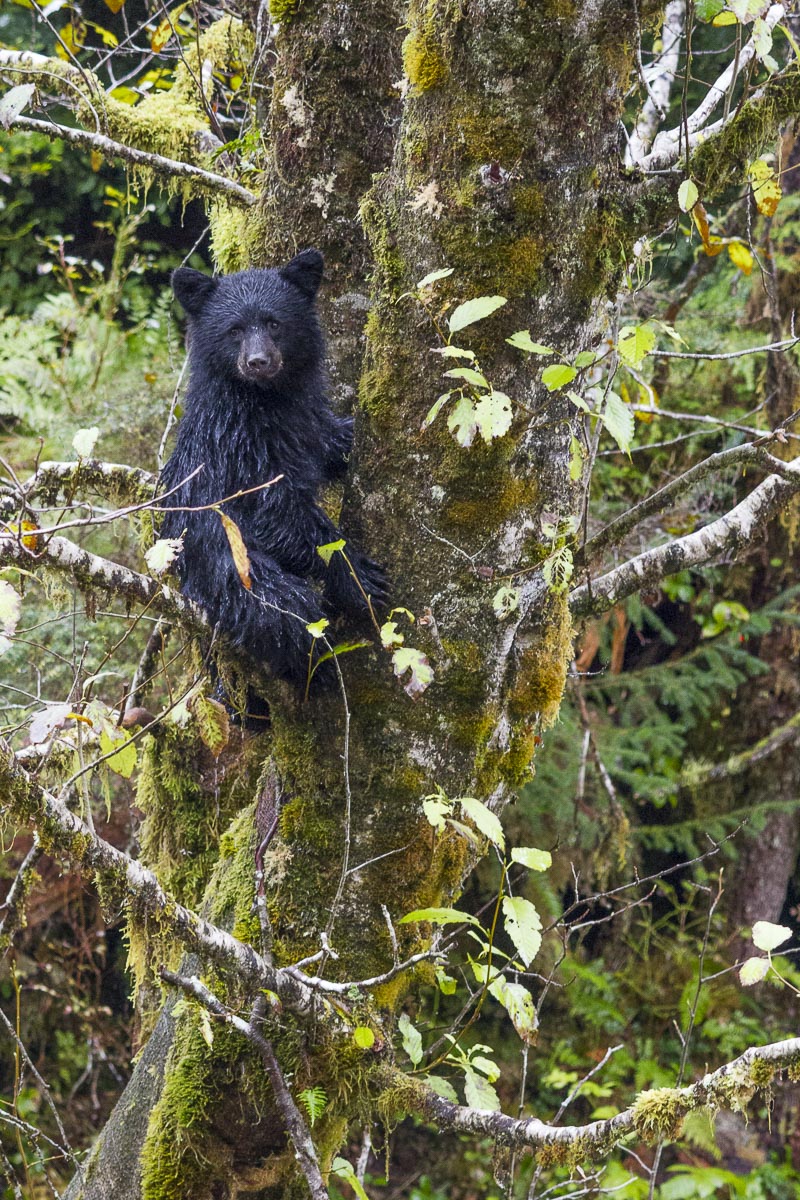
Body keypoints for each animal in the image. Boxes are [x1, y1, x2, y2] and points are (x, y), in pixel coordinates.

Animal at [158, 249, 387, 689]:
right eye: (234, 330)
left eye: (274, 322)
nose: (258, 362)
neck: (265, 400)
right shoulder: (239, 448)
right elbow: (274, 511)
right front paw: (359, 576)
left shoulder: (303, 418)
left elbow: (326, 439)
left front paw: (349, 434)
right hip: (231, 571)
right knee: (285, 609)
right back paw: (316, 674)